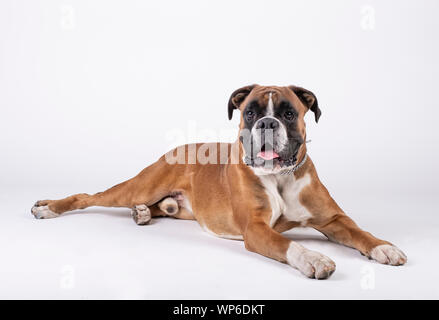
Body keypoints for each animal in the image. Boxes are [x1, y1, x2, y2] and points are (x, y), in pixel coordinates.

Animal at [31, 84, 410, 278]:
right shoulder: (257, 229)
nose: (267, 123)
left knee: (161, 207)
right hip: (139, 186)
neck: (280, 178)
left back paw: (143, 213)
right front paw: (314, 258)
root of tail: (177, 148)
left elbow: (359, 232)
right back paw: (49, 207)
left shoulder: (334, 220)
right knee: (88, 195)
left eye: (289, 113)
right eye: (250, 112)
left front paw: (384, 247)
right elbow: (289, 243)